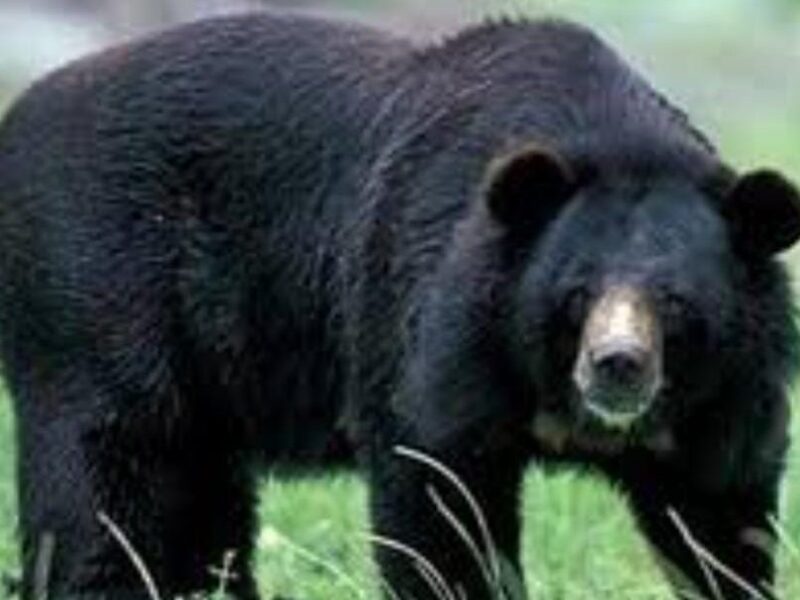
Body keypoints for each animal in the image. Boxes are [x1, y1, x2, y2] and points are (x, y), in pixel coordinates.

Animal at [0, 11, 798, 600]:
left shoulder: (723, 399)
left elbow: (720, 514)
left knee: (203, 503)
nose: (618, 367)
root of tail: (19, 117)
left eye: (676, 300)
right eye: (575, 294)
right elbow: (437, 489)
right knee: (108, 473)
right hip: (94, 284)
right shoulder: (439, 327)